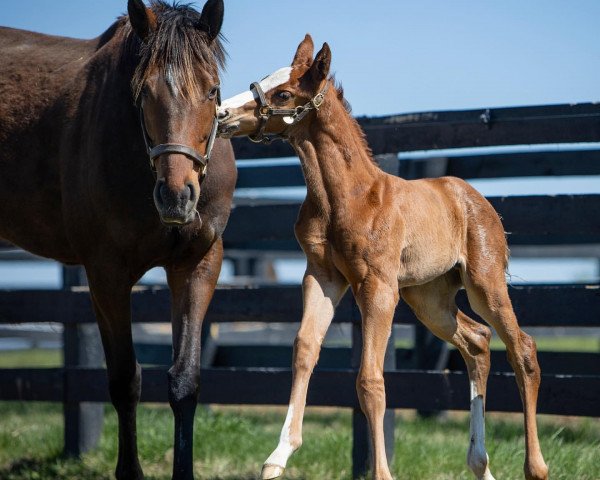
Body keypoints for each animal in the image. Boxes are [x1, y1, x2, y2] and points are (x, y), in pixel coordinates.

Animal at [0, 0, 237, 480]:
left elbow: (184, 380)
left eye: (212, 90)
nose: (176, 196)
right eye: (143, 93)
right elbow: (126, 380)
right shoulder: (106, 276)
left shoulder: (198, 265)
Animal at [217, 34, 548, 480]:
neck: (346, 196)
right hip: (428, 298)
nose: (222, 113)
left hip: (484, 282)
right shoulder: (322, 276)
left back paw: (536, 467)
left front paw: (381, 472)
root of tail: (474, 198)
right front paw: (278, 456)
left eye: (283, 93)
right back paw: (480, 464)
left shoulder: (377, 287)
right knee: (477, 341)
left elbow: (371, 380)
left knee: (522, 348)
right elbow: (304, 350)